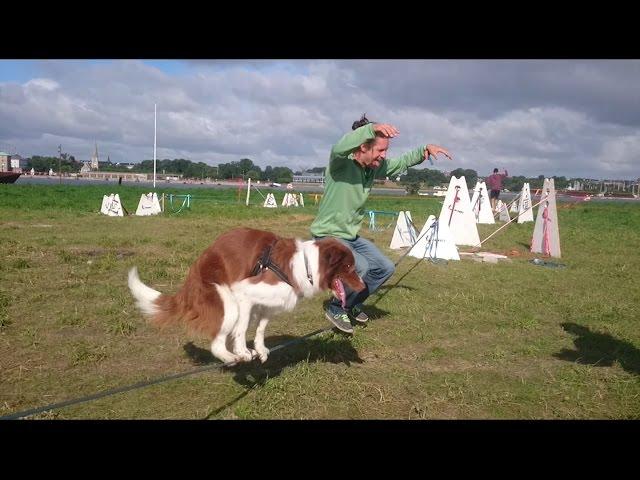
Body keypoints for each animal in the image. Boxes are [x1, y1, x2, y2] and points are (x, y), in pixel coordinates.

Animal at [127, 228, 362, 364]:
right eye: (349, 267)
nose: (363, 286)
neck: (307, 266)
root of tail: (193, 273)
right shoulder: (245, 292)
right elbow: (240, 330)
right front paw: (243, 350)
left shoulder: (267, 304)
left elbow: (260, 328)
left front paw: (260, 349)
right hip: (227, 302)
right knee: (217, 342)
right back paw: (232, 356)